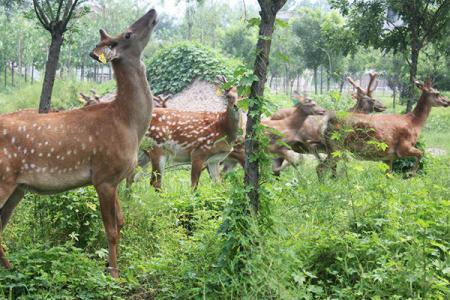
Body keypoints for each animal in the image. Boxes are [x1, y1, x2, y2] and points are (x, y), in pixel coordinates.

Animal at [0, 8, 158, 278]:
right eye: (128, 33)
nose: (152, 11)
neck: (127, 121)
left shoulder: (114, 177)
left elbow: (121, 222)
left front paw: (109, 266)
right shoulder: (104, 176)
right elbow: (111, 230)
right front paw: (114, 274)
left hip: (17, 187)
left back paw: (11, 270)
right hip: (3, 177)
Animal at [318, 79, 448, 178]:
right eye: (437, 93)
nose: (447, 101)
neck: (414, 123)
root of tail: (327, 124)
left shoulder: (389, 157)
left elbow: (388, 176)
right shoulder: (403, 147)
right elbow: (422, 152)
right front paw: (410, 174)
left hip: (333, 149)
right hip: (337, 147)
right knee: (321, 168)